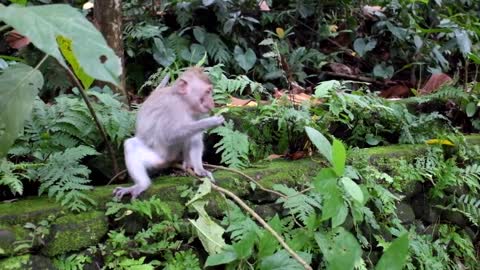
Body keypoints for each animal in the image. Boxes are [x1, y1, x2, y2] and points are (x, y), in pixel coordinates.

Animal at [113, 66, 224, 199]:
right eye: (207, 92)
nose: (212, 102)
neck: (184, 102)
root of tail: (169, 160)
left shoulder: (196, 112)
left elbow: (195, 139)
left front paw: (200, 169)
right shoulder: (172, 108)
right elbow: (168, 136)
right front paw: (211, 122)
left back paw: (188, 163)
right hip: (159, 159)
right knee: (131, 145)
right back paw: (141, 185)